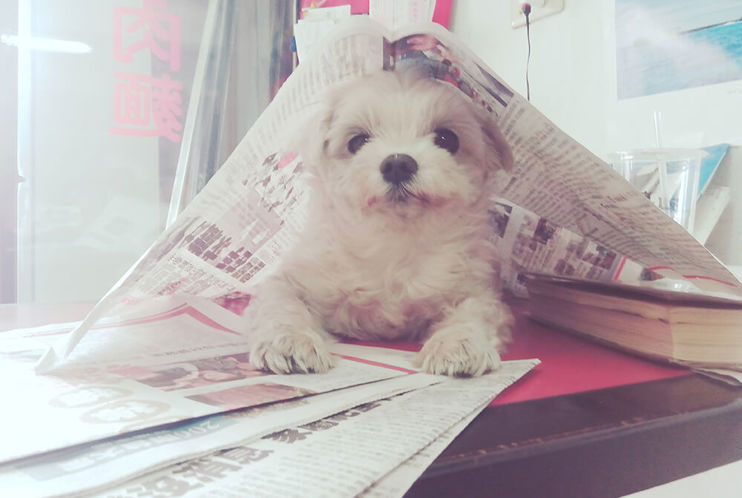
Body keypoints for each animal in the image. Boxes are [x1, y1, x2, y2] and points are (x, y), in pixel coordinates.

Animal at [247, 68, 516, 376]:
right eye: (357, 141)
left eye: (447, 139)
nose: (398, 164)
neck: (394, 242)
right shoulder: (293, 279)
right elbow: (281, 305)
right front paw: (289, 342)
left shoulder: (476, 291)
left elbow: (471, 315)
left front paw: (458, 345)